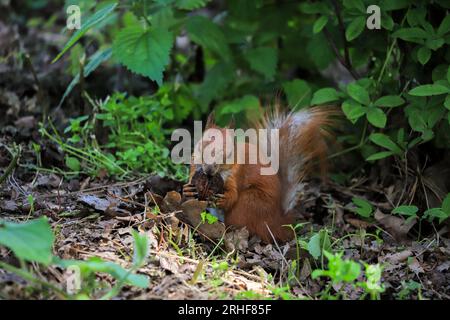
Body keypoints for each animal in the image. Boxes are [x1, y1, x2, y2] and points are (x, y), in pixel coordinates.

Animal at [183, 105, 334, 242]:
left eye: (228, 153)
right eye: (201, 146)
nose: (208, 170)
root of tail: (277, 222)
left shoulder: (237, 175)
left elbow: (233, 195)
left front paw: (224, 199)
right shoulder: (194, 166)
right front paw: (187, 189)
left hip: (248, 204)